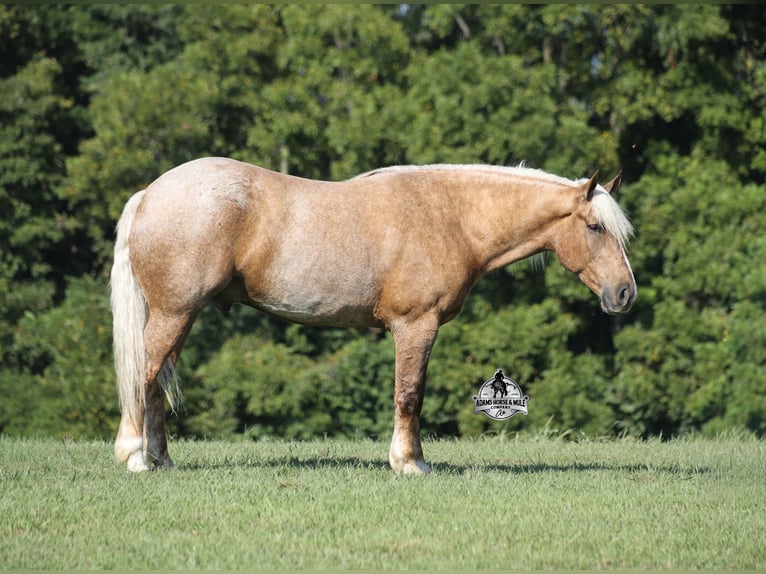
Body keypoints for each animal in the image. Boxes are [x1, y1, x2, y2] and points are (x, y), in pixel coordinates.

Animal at [111, 158, 636, 473]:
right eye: (595, 227)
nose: (625, 293)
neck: (451, 216)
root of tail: (149, 194)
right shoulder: (415, 326)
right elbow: (410, 395)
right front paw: (410, 463)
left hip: (180, 316)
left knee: (155, 381)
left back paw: (161, 459)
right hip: (175, 312)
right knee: (145, 375)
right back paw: (135, 457)